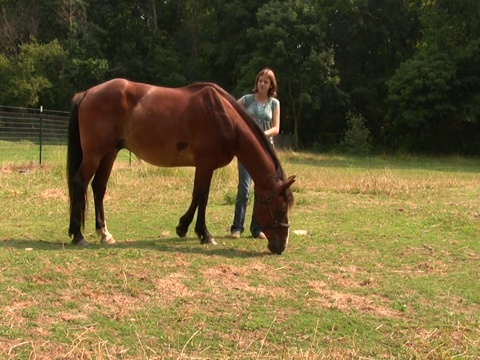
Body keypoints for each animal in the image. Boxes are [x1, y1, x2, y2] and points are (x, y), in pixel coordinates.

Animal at [66, 79, 294, 253]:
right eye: (281, 208)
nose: (281, 246)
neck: (224, 118)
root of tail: (87, 93)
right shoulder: (205, 165)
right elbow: (202, 197)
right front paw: (203, 233)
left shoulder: (204, 167)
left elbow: (198, 196)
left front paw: (184, 228)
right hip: (95, 154)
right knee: (80, 183)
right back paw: (78, 235)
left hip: (109, 153)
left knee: (98, 187)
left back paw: (104, 233)